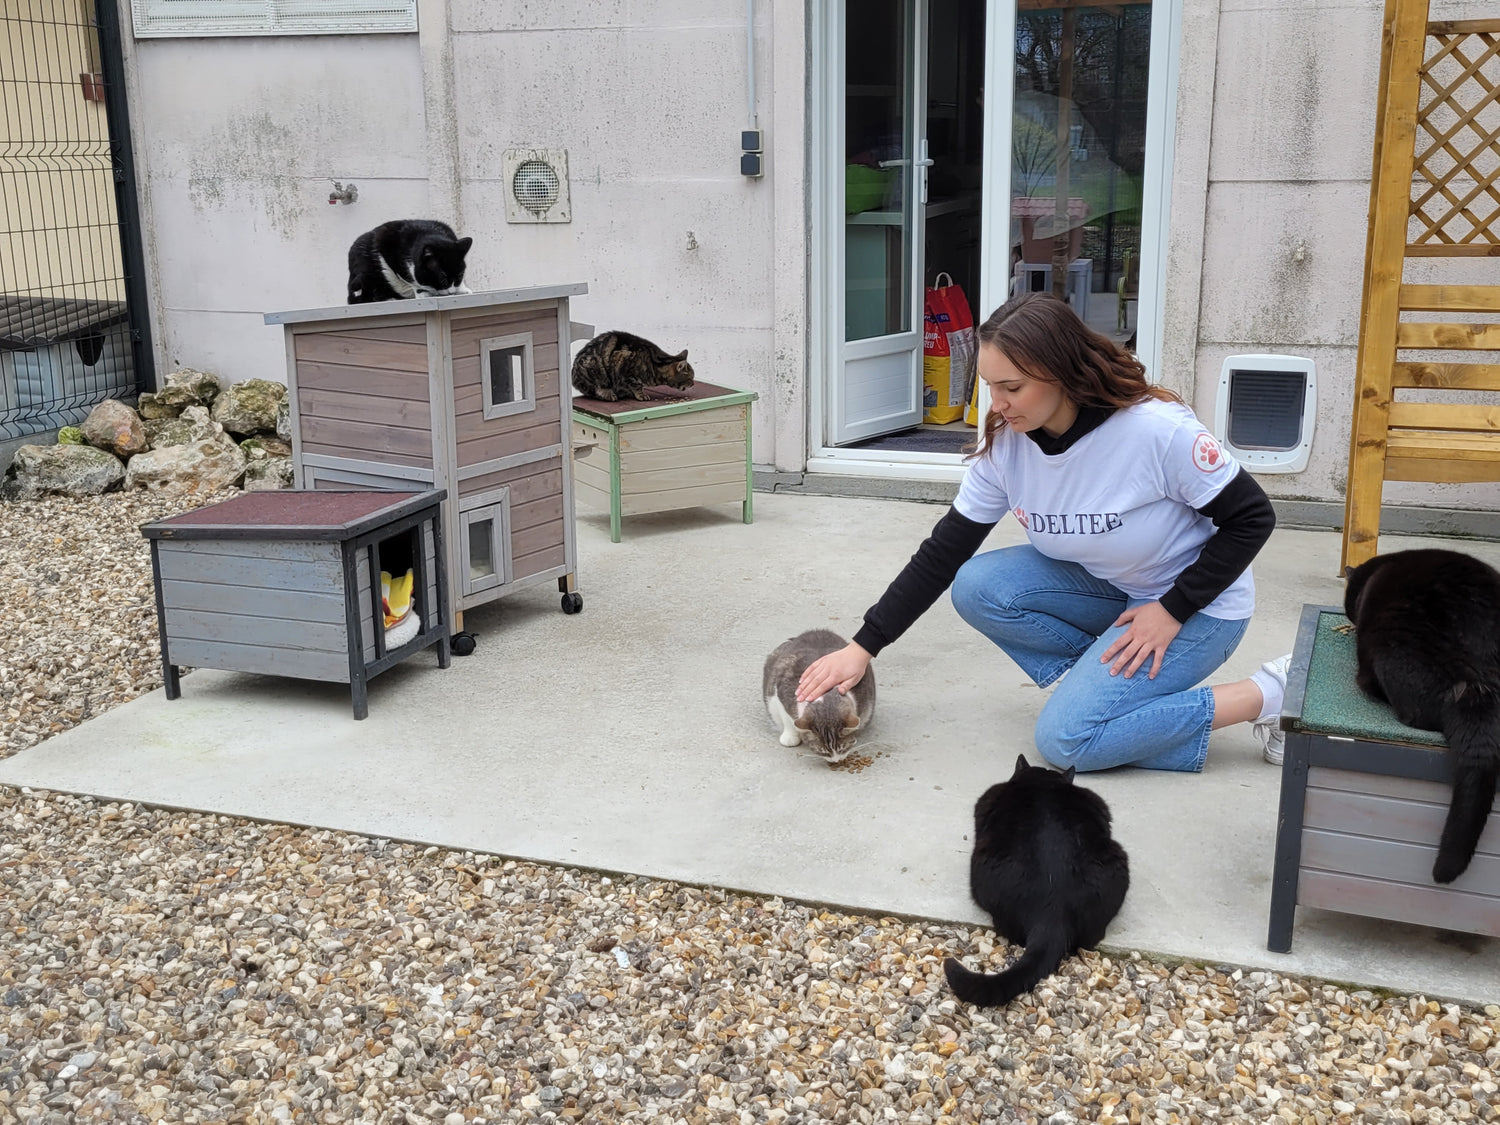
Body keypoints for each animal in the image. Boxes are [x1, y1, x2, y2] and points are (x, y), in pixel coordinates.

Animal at [762, 629, 876, 764]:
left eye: (843, 748)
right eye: (823, 751)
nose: (836, 761)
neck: (824, 694)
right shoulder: (781, 693)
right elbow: (788, 719)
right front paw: (790, 736)